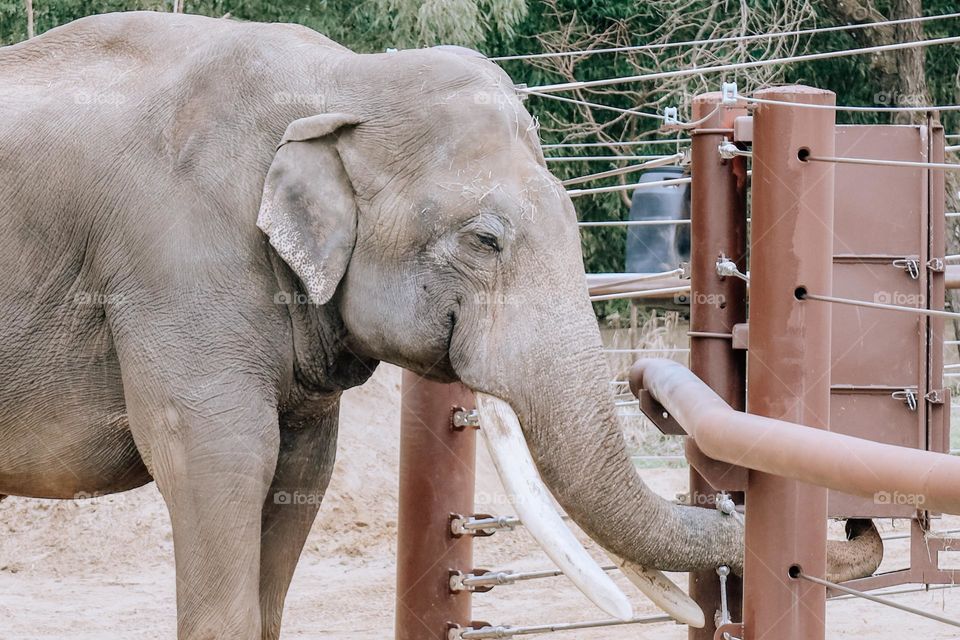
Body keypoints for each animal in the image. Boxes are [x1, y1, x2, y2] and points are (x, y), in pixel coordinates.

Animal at [0, 11, 881, 639]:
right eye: (486, 240)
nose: (857, 520)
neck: (340, 80)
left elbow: (299, 468)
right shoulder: (174, 267)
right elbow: (223, 456)